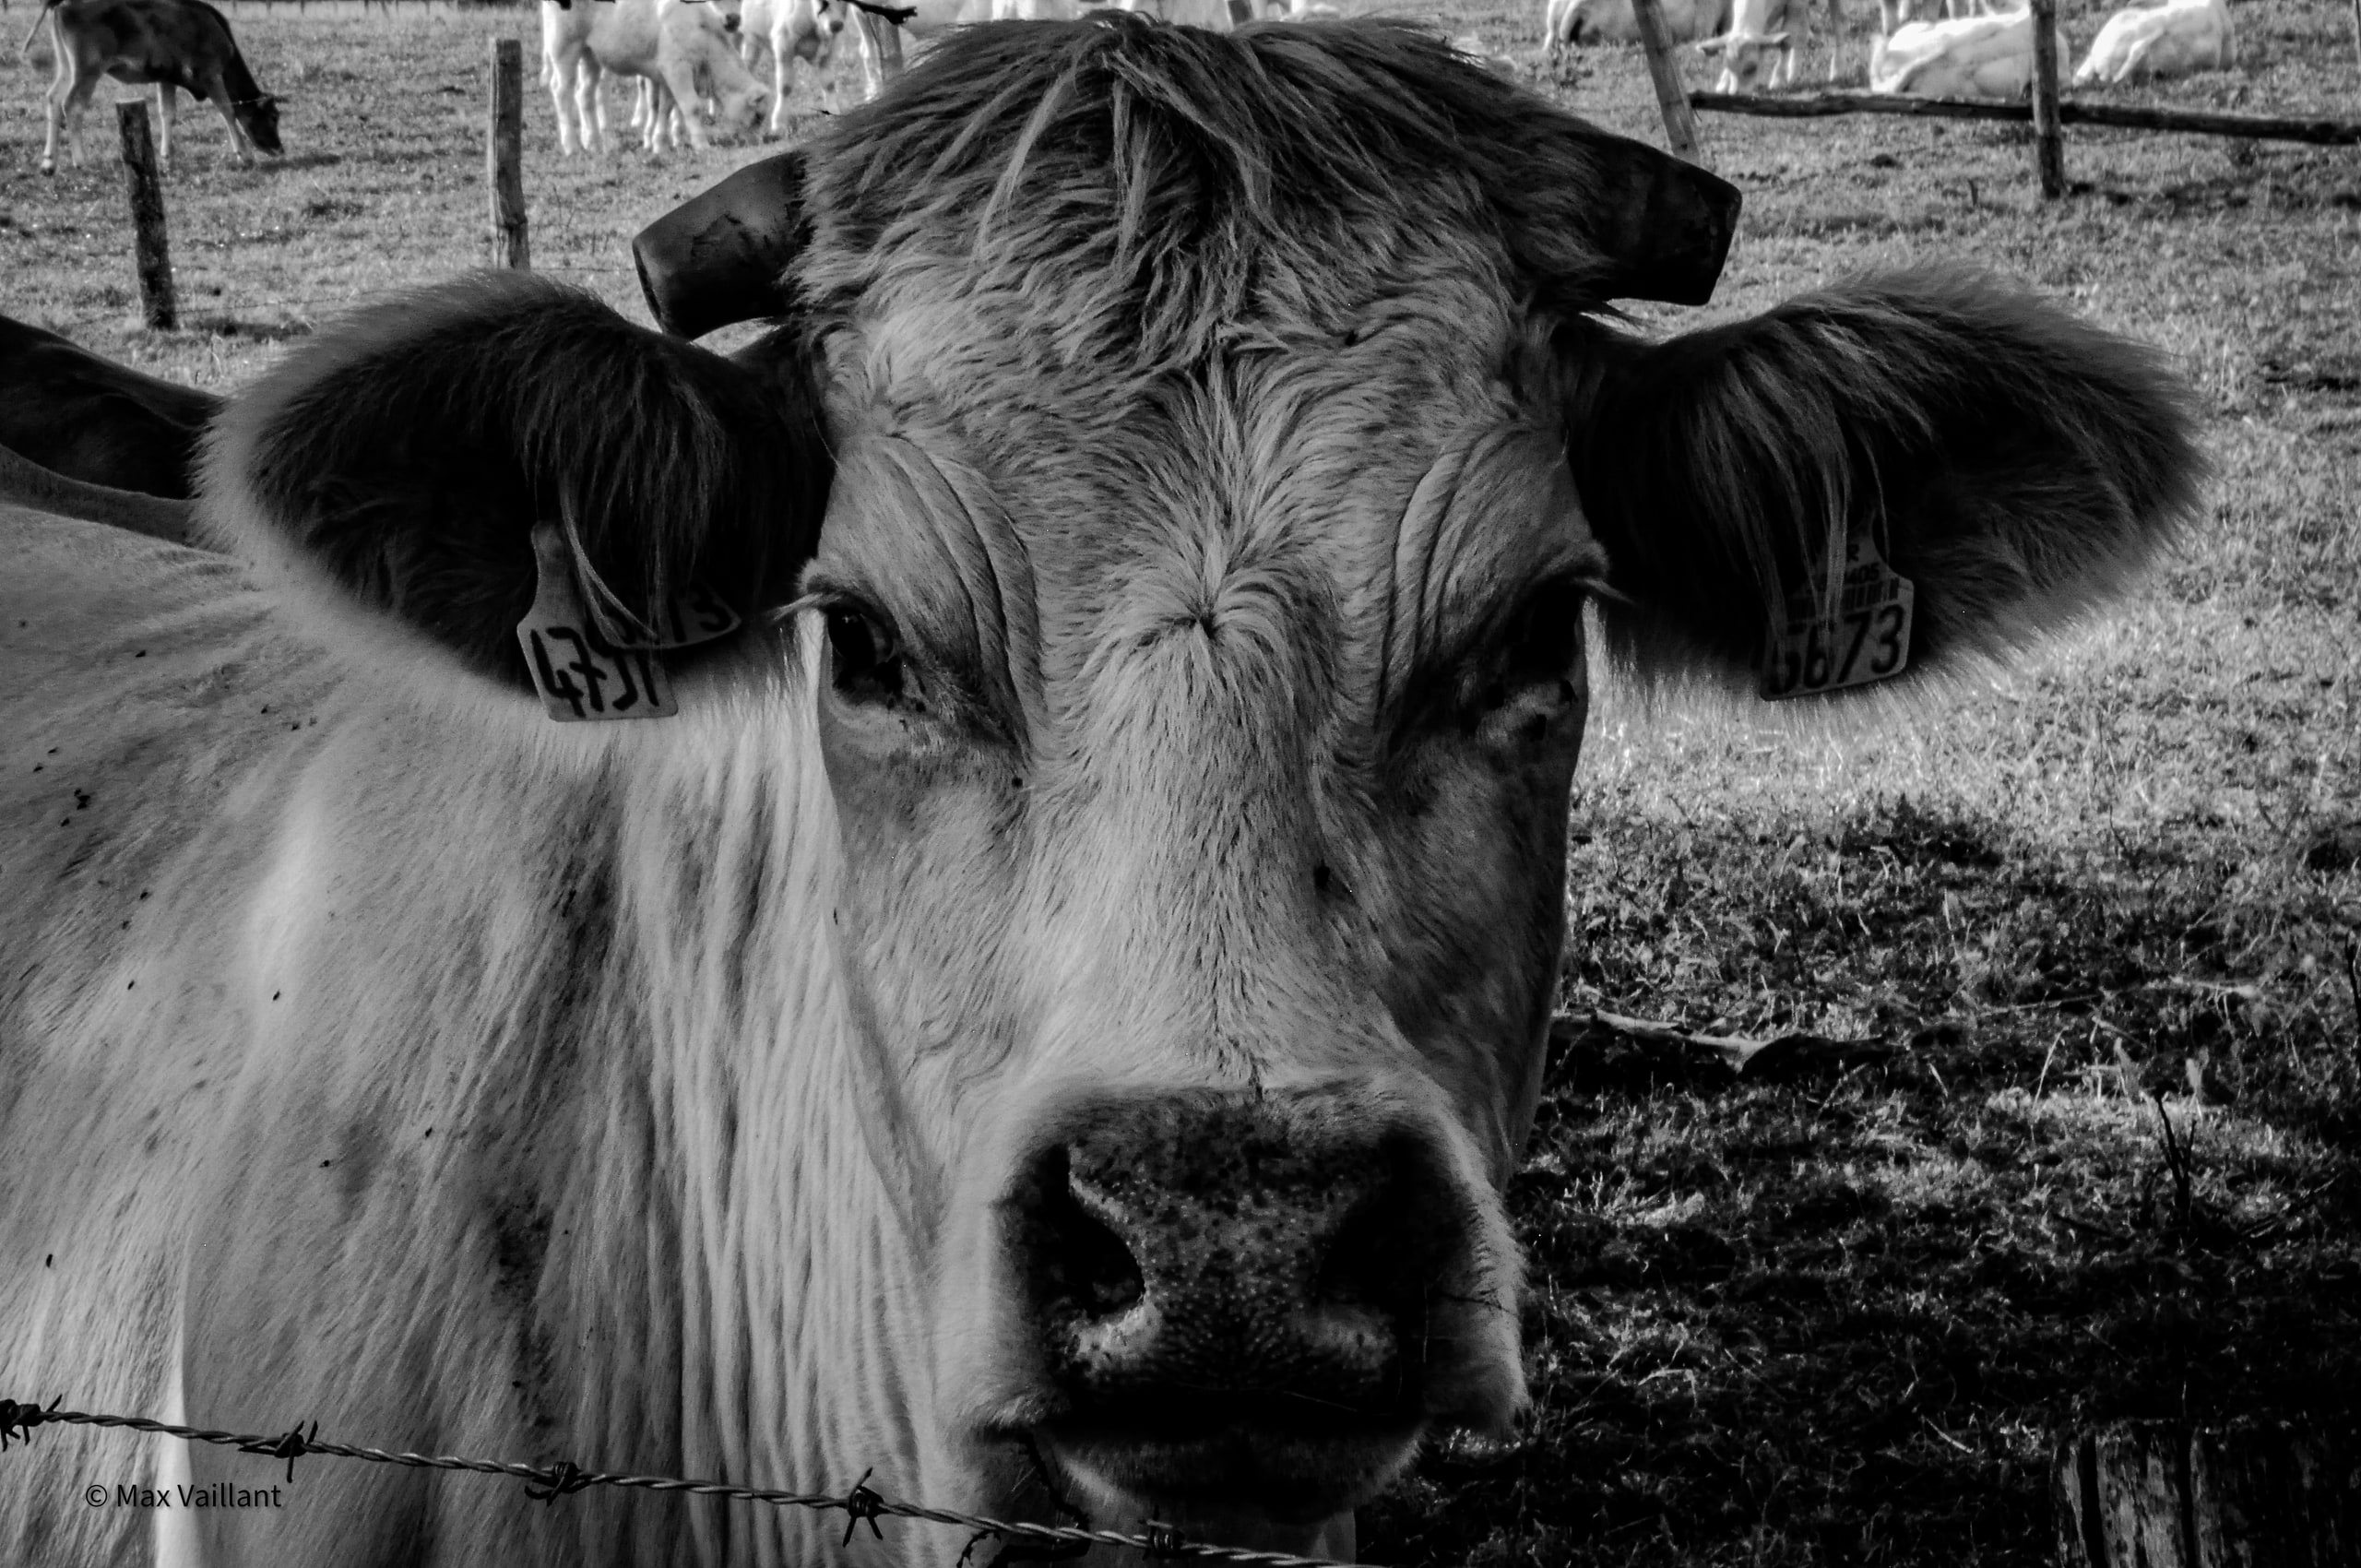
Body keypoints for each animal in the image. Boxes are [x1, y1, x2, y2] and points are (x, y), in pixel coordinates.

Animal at [31, 0, 281, 176]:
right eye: (273, 117)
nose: (280, 149)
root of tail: (62, 3)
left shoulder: (167, 78)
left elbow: (167, 114)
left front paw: (167, 159)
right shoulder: (210, 73)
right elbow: (227, 110)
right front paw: (244, 156)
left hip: (66, 66)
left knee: (53, 99)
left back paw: (49, 163)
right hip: (88, 69)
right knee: (72, 105)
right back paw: (81, 161)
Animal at [542, 0, 769, 155]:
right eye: (758, 116)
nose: (756, 141)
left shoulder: (667, 75)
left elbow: (664, 108)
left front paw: (660, 145)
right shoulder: (677, 69)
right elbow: (691, 106)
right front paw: (702, 144)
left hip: (590, 56)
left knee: (585, 94)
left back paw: (595, 144)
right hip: (565, 48)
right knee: (561, 92)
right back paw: (571, 146)